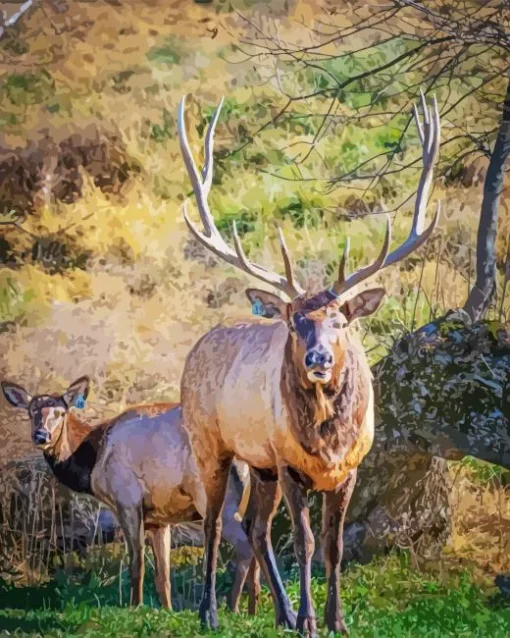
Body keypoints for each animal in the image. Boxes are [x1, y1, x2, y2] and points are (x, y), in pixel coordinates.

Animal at [0, 380, 258, 616]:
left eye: (60, 413)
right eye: (31, 412)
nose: (41, 435)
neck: (92, 465)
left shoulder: (127, 500)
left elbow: (137, 561)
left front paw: (136, 606)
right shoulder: (159, 518)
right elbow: (163, 574)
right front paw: (167, 610)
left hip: (221, 503)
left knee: (245, 549)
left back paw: (231, 607)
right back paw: (254, 612)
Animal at [177, 92, 440, 636]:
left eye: (341, 320)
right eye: (296, 321)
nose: (319, 358)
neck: (327, 442)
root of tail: (200, 342)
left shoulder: (349, 467)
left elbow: (334, 547)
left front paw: (336, 620)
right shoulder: (290, 463)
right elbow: (304, 542)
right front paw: (310, 620)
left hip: (259, 465)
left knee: (253, 528)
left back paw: (277, 612)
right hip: (211, 442)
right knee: (214, 522)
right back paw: (210, 611)